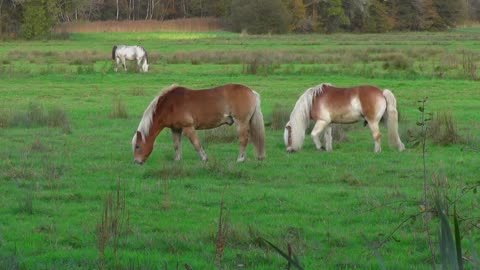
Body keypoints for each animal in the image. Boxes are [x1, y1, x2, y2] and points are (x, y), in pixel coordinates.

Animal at [131, 84, 266, 163]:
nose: (137, 161)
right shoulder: (176, 129)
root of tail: (252, 92)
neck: (170, 105)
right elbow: (176, 145)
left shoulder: (188, 128)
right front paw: (177, 160)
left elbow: (196, 144)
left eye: (137, 146)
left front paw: (204, 158)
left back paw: (240, 159)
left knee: (243, 140)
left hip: (241, 123)